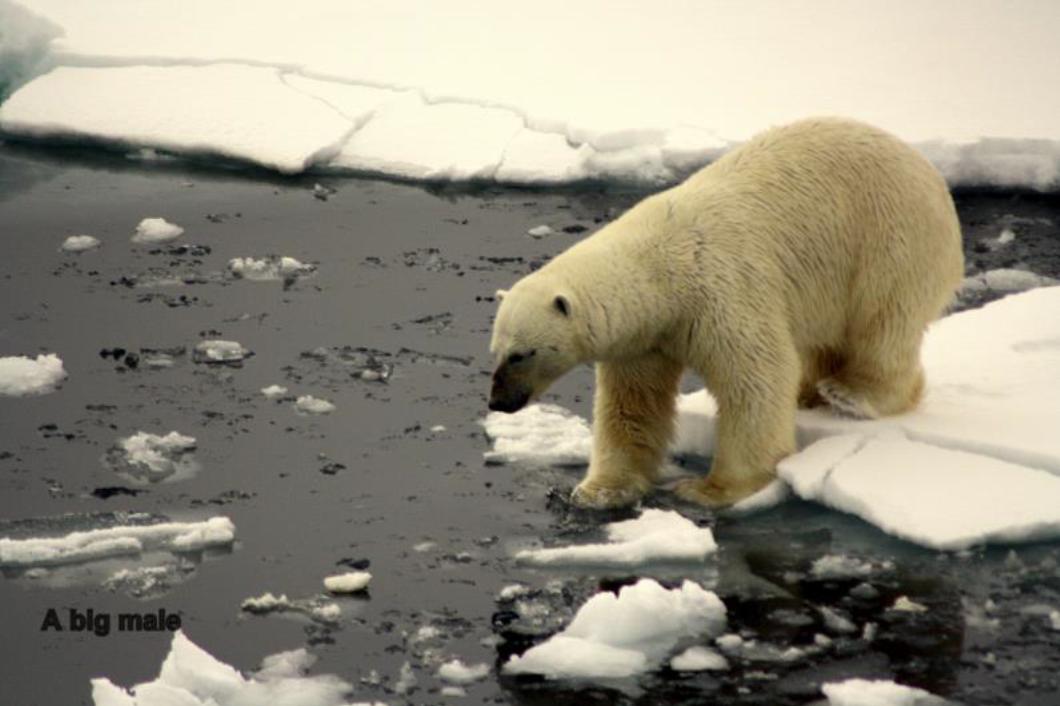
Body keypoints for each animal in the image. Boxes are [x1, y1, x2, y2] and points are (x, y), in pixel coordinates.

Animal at [485, 119, 962, 506]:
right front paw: (598, 491)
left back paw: (853, 393)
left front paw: (710, 489)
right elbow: (632, 403)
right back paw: (811, 392)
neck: (660, 269)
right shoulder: (645, 339)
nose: (498, 402)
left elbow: (755, 378)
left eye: (522, 353)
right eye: (496, 351)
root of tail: (929, 170)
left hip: (890, 238)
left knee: (883, 323)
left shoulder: (721, 289)